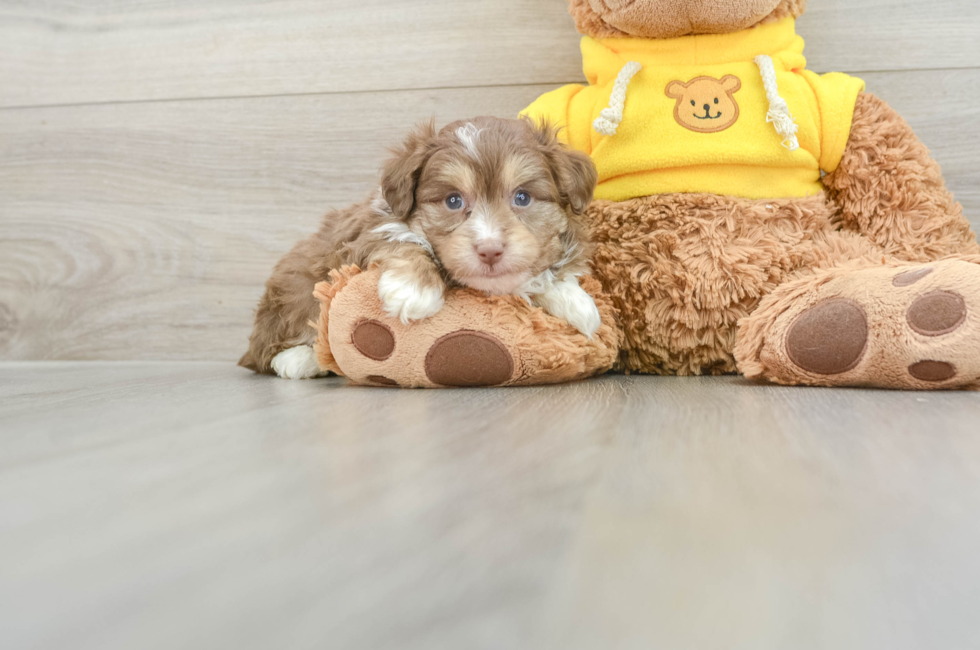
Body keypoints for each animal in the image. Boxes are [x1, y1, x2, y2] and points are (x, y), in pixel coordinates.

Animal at [241, 116, 600, 378]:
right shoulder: (365, 233)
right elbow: (402, 240)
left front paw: (576, 302)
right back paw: (301, 360)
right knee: (269, 350)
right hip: (293, 294)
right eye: (453, 201)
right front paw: (413, 290)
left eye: (522, 197)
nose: (490, 250)